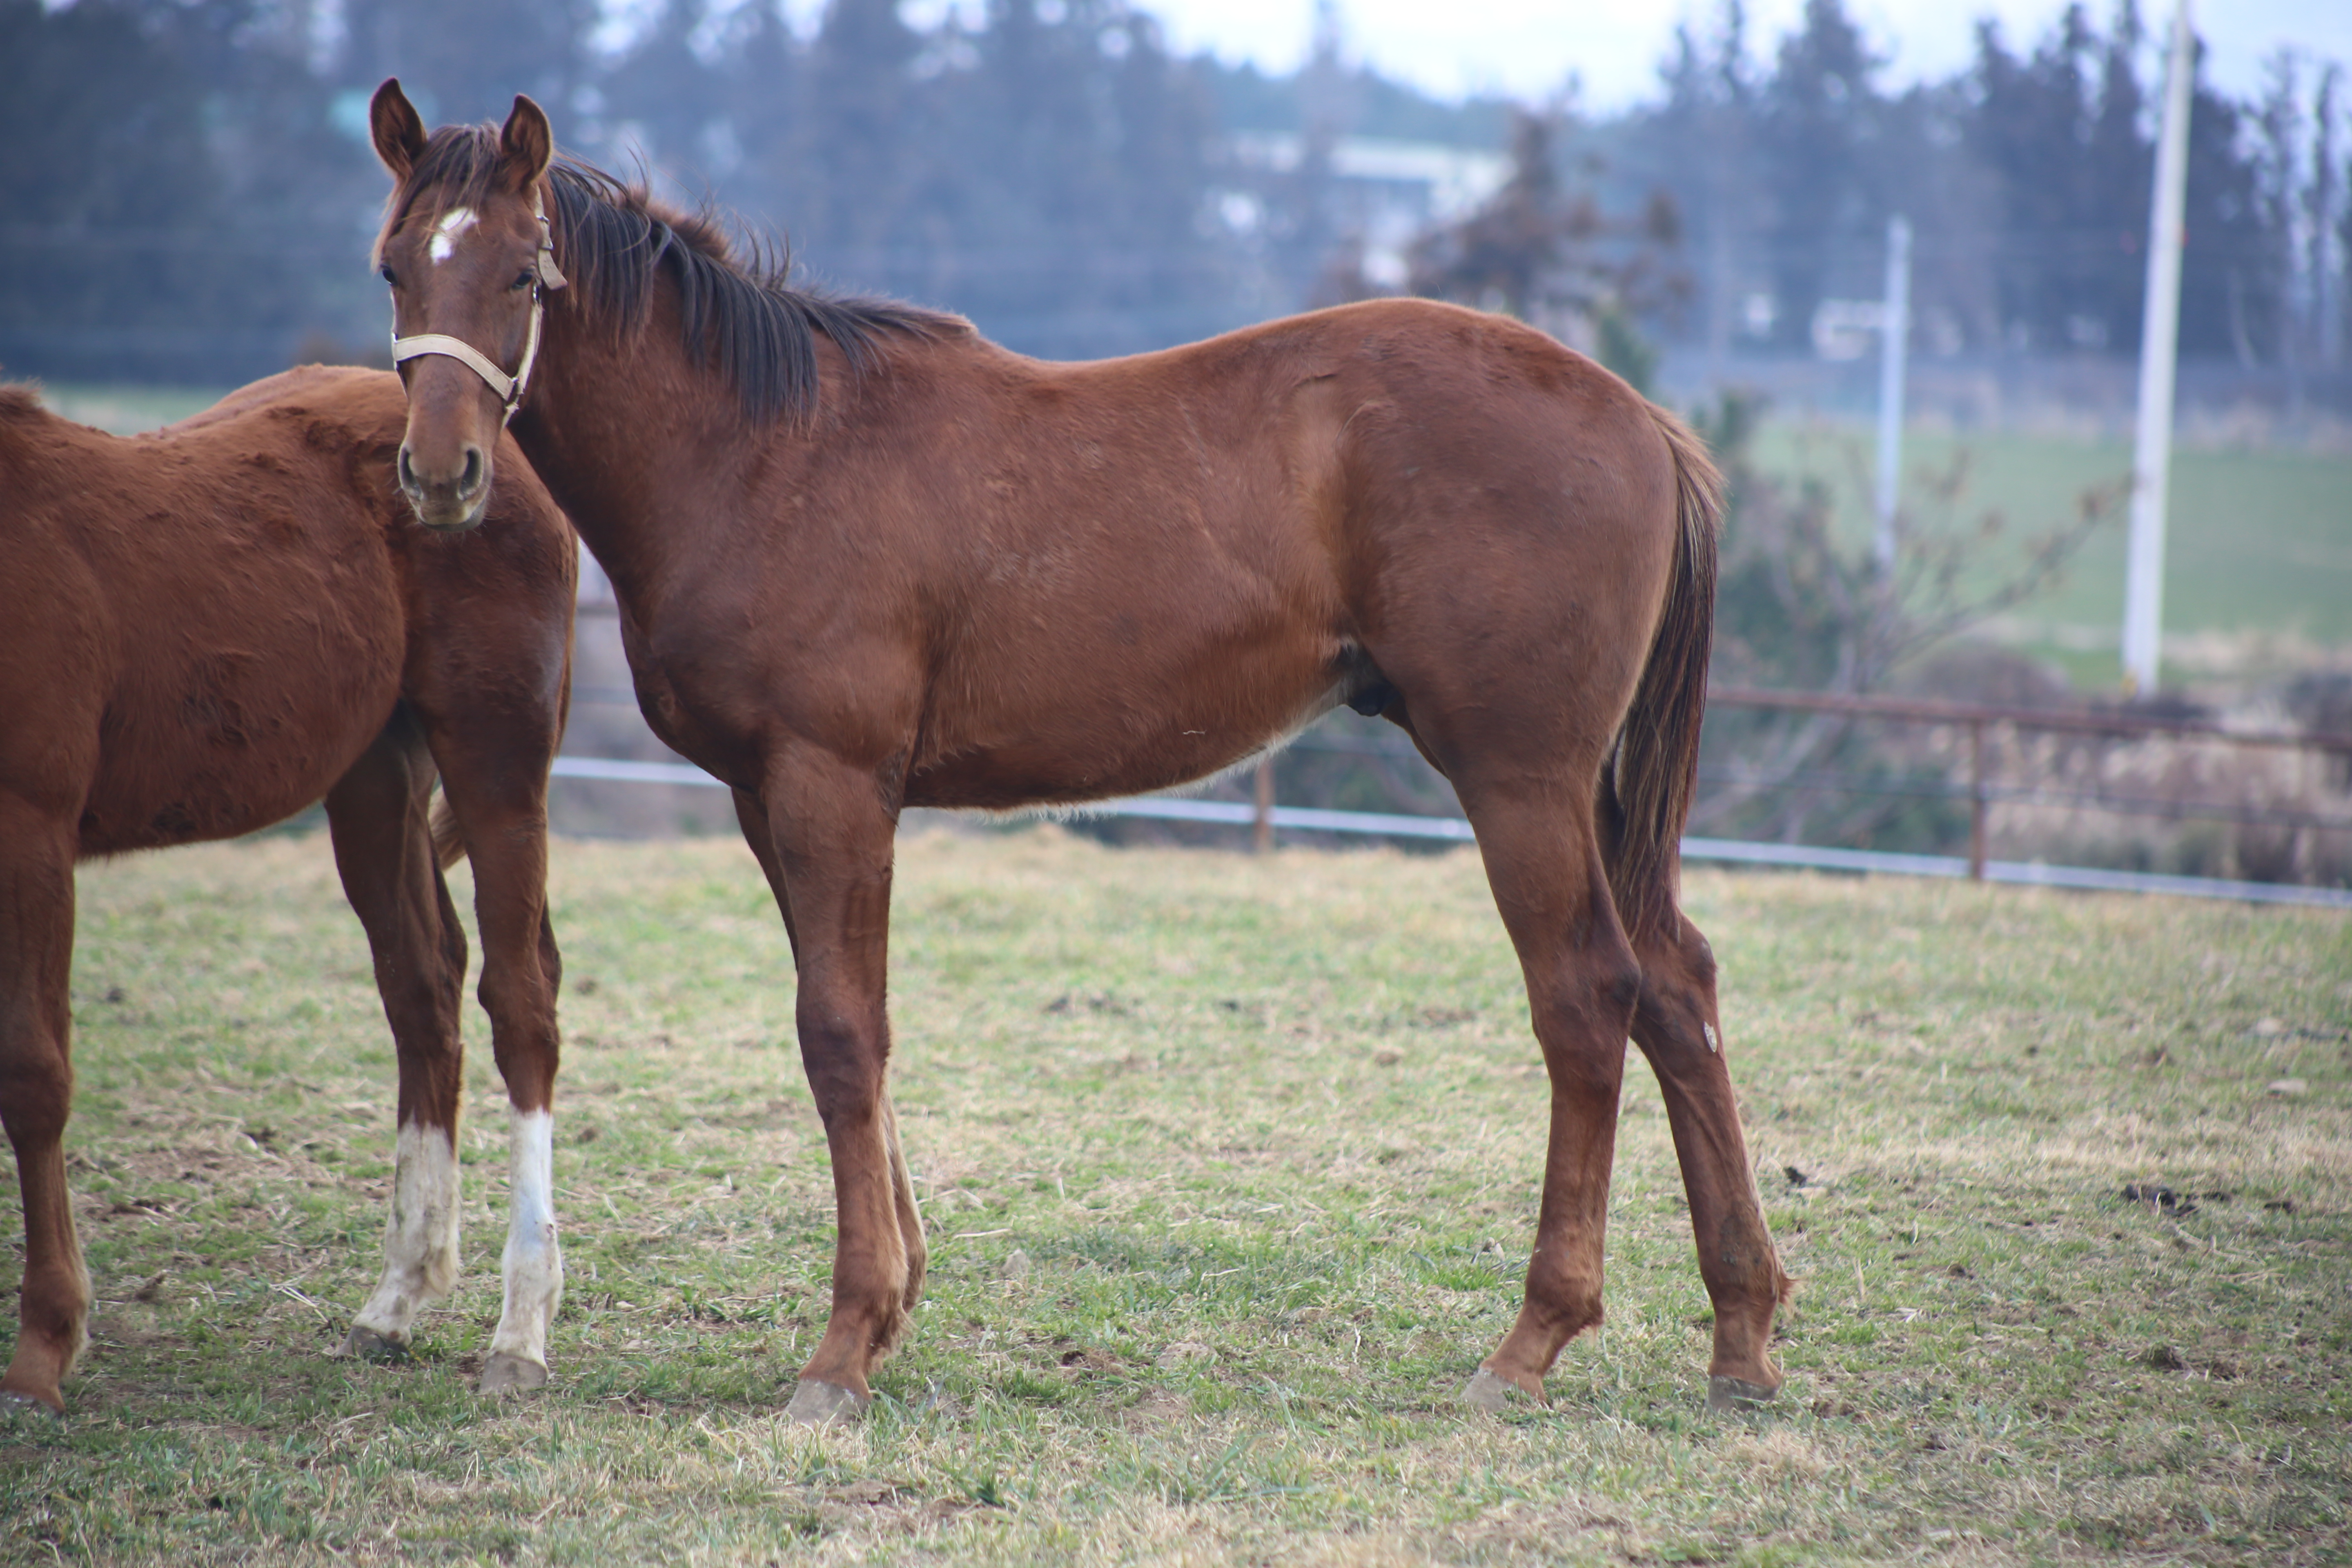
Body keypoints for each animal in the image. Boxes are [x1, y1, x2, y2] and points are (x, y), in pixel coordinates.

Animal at [2, 364, 581, 1410]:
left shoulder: (30, 823)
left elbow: (32, 1075)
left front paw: (43, 1348)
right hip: (374, 776)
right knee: (423, 989)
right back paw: (396, 1299)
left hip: (497, 767)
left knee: (520, 1002)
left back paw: (520, 1330)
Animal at [376, 89, 1787, 1439]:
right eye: (395, 266)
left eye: (525, 276)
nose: (440, 475)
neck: (764, 449)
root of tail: (1643, 421)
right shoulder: (766, 800)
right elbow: (858, 1029)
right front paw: (891, 1306)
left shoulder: (833, 785)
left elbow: (838, 1033)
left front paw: (842, 1351)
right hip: (1586, 795)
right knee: (1678, 990)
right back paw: (1743, 1334)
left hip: (1519, 782)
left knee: (1587, 1000)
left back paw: (1534, 1341)